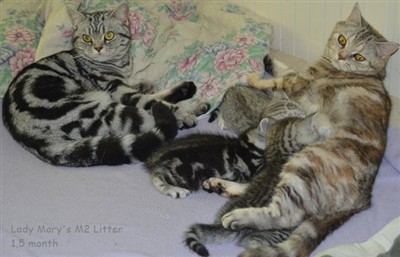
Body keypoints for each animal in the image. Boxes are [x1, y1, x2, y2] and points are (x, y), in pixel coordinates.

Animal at [2, 3, 209, 166]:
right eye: (86, 38)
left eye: (109, 35)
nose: (98, 48)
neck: (119, 63)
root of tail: (38, 142)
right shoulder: (118, 90)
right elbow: (151, 100)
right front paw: (182, 105)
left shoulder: (124, 82)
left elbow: (142, 86)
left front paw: (147, 83)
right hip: (105, 111)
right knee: (150, 117)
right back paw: (188, 112)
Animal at [184, 3, 396, 256]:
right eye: (342, 40)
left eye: (360, 56)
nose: (341, 55)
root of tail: (362, 201)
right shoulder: (297, 74)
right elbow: (284, 68)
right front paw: (267, 58)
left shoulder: (296, 82)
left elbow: (276, 80)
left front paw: (255, 76)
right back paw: (222, 186)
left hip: (304, 164)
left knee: (283, 213)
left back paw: (237, 216)